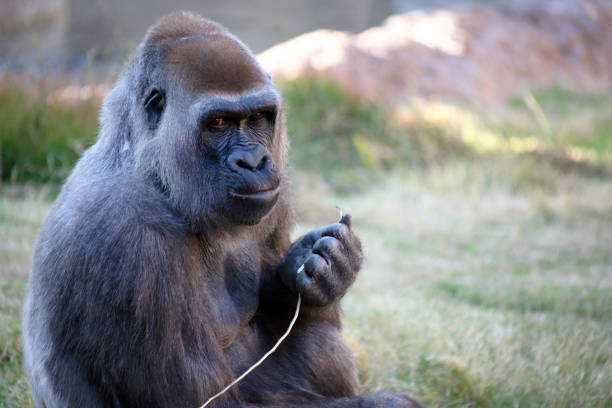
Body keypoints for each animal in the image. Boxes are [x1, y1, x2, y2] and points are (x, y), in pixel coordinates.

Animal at [20, 11, 420, 408]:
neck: (156, 176)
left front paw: (328, 268)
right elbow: (203, 400)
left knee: (319, 342)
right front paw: (386, 402)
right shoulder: (129, 240)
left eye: (258, 118)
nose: (254, 161)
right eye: (218, 122)